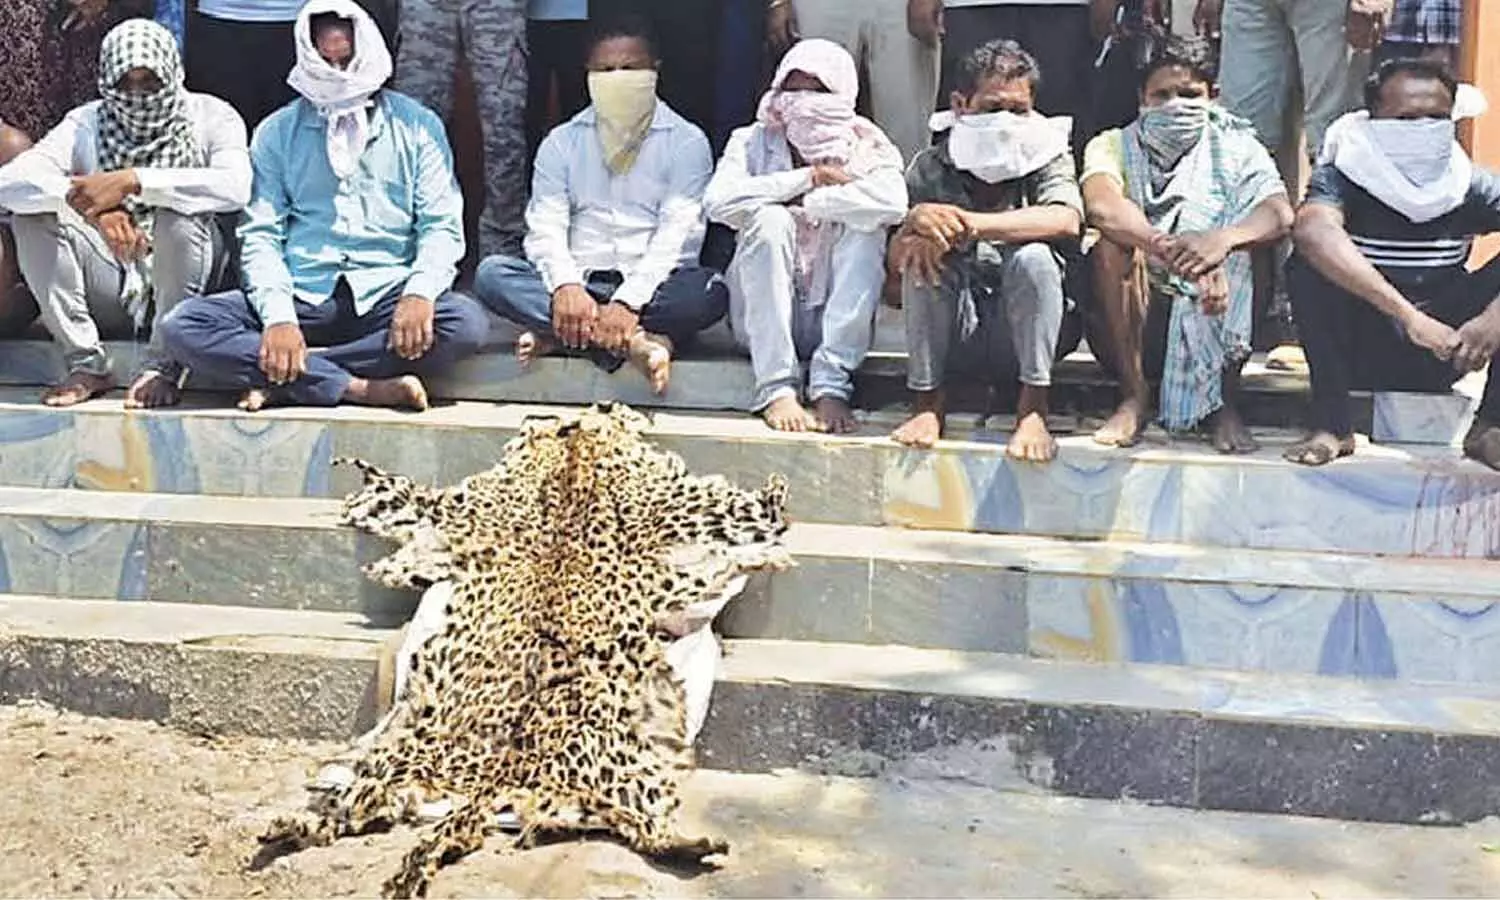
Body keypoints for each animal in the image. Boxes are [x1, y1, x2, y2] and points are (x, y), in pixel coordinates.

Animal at [255, 403, 792, 898]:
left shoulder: (460, 507)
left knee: (355, 808)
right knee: (634, 824)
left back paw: (291, 826)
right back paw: (694, 844)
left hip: (392, 768)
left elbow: (412, 505)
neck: (573, 451)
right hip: (629, 771)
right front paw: (776, 495)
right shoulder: (692, 506)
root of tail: (497, 774)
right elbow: (757, 513)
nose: (613, 406)